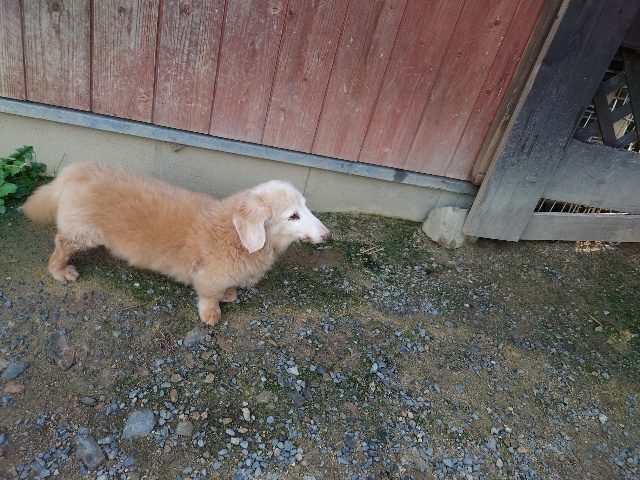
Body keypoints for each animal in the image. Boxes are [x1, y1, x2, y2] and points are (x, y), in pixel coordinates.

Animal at [23, 163, 331, 325]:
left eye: (306, 206)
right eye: (292, 215)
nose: (328, 235)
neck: (233, 235)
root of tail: (77, 170)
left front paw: (229, 294)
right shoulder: (208, 279)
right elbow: (209, 297)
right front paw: (212, 314)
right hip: (81, 233)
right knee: (61, 243)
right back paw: (61, 271)